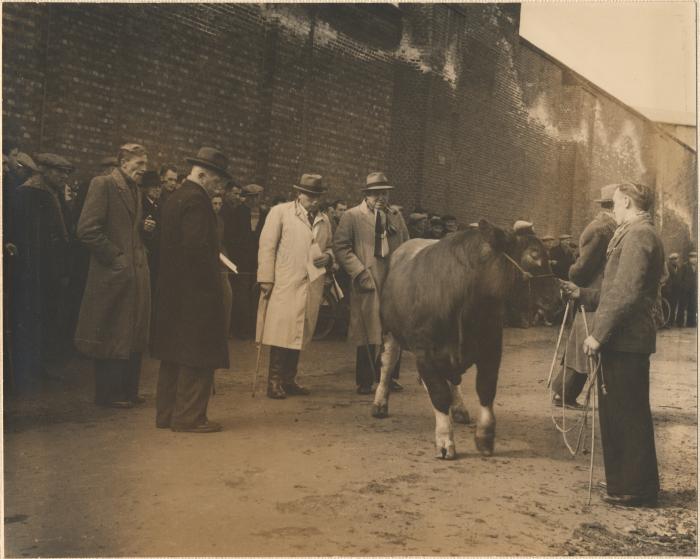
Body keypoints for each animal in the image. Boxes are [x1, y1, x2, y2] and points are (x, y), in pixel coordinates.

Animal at [374, 219, 560, 460]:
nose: (558, 299)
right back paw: (379, 403)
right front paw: (445, 441)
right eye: (534, 255)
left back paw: (459, 408)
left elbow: (486, 389)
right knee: (387, 364)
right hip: (389, 330)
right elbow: (439, 394)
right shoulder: (425, 352)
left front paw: (485, 436)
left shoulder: (492, 347)